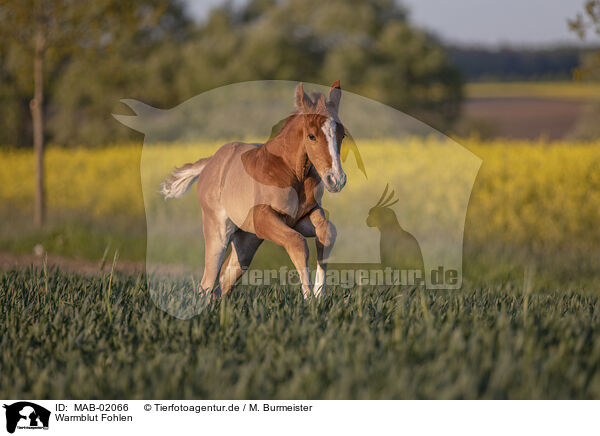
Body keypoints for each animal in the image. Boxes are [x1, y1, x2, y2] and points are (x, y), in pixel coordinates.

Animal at [161, 81, 346, 300]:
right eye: (312, 136)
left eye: (342, 135)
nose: (336, 180)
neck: (291, 172)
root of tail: (210, 162)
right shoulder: (263, 218)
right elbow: (297, 243)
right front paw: (309, 298)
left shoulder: (302, 217)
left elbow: (327, 232)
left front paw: (319, 294)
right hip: (219, 233)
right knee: (207, 282)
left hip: (247, 241)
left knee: (224, 279)